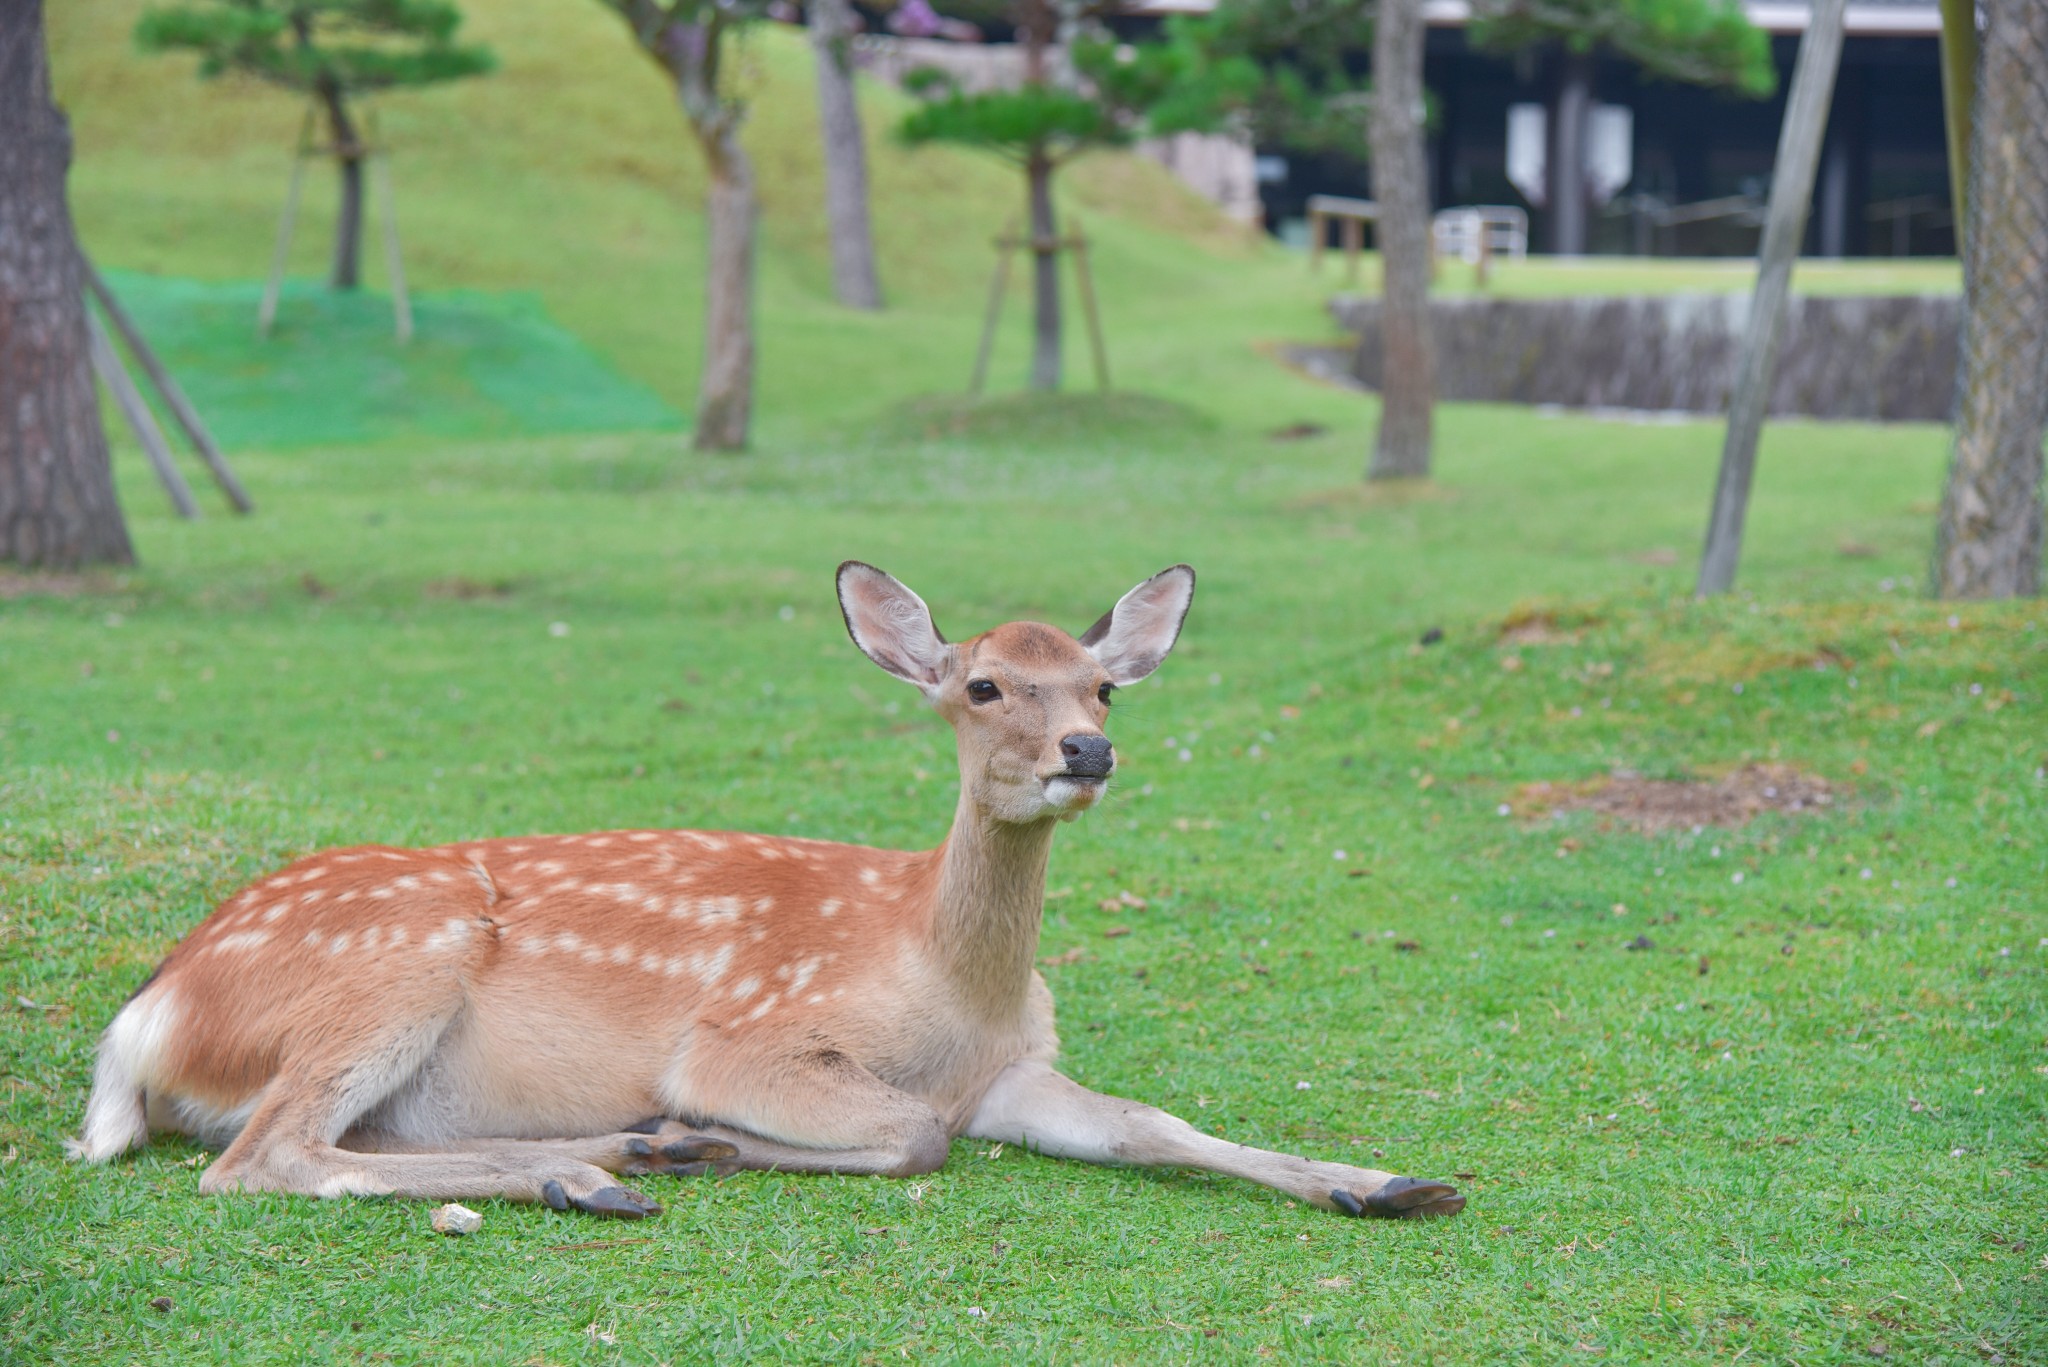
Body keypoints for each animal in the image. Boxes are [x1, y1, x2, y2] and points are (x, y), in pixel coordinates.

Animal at [68, 561, 1474, 1221]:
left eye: (1103, 686)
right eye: (982, 684)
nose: (1087, 751)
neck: (946, 981)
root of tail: (140, 1022)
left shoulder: (1012, 1072)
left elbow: (1148, 1123)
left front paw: (1383, 1179)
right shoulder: (746, 1037)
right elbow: (911, 1134)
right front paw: (715, 1134)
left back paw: (611, 1155)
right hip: (395, 958)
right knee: (260, 1155)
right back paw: (613, 1164)